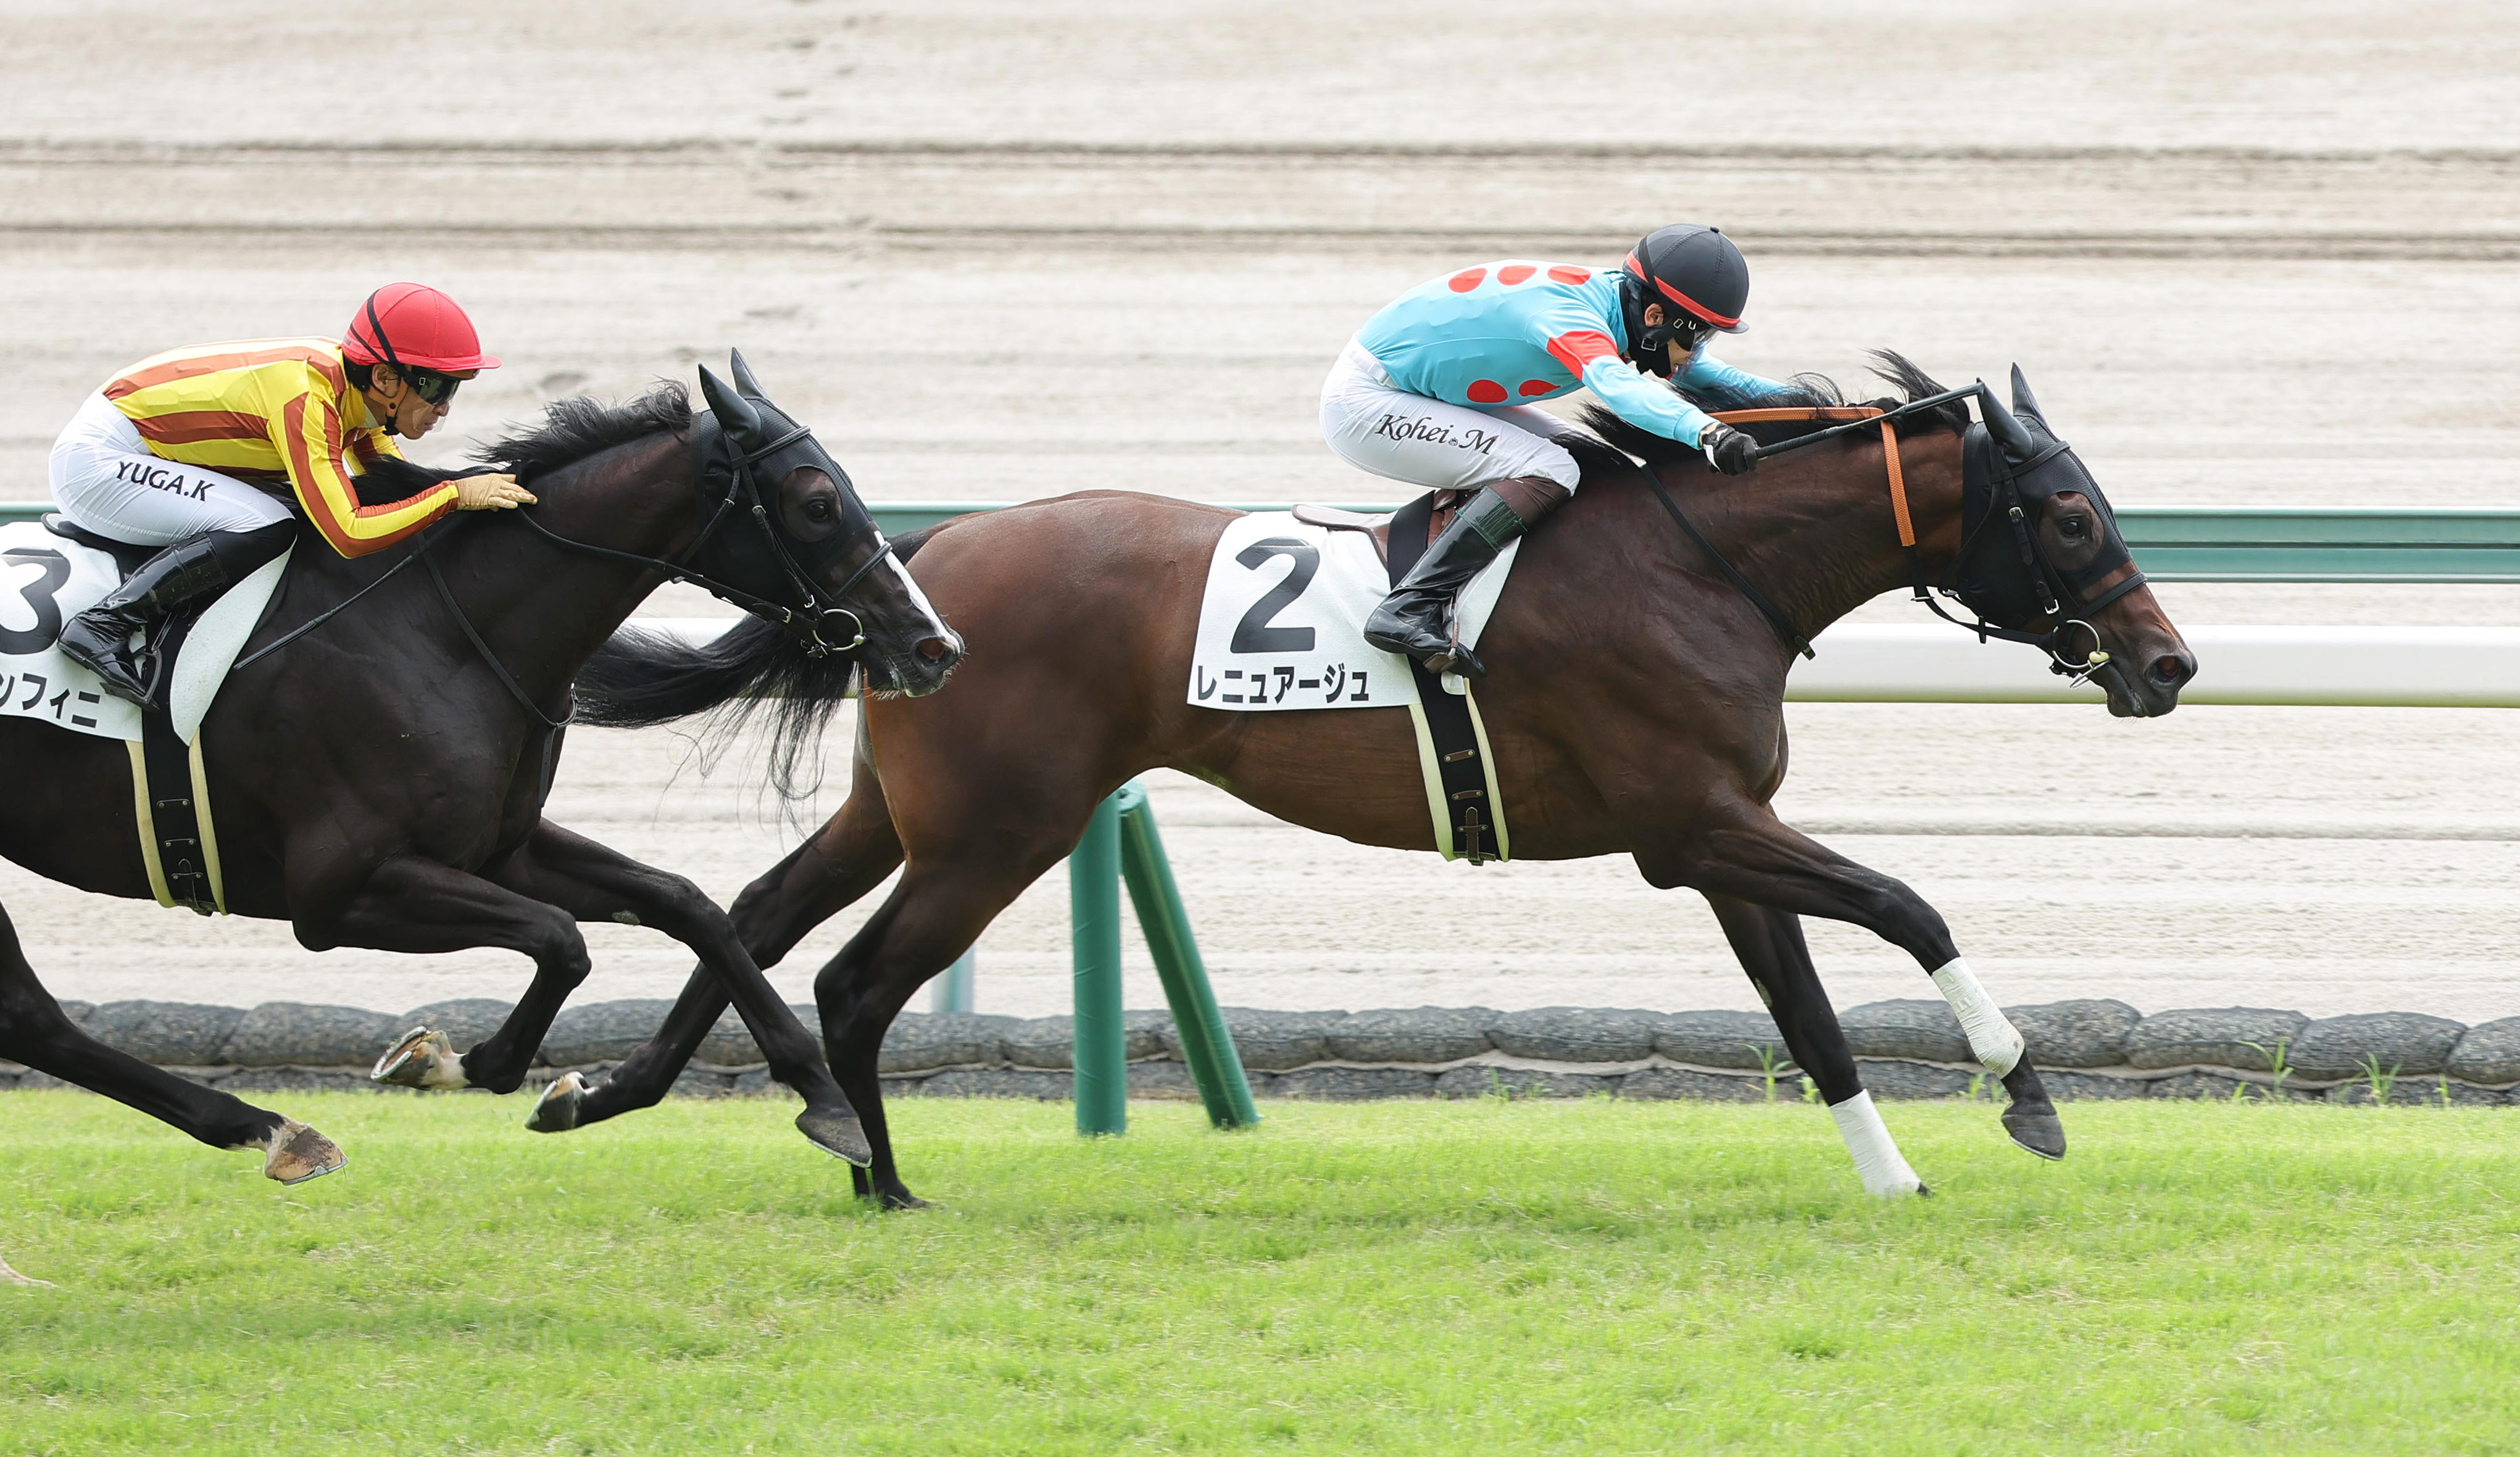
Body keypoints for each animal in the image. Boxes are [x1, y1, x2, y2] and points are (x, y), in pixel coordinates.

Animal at [0, 353, 958, 1183]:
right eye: (816, 503)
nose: (934, 645)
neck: (439, 623)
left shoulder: (497, 847)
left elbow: (688, 905)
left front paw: (825, 1100)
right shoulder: (337, 890)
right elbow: (562, 941)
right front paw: (451, 1059)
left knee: (32, 1020)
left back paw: (271, 1127)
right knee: (31, 1018)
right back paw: (274, 1127)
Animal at [551, 356, 2195, 1206]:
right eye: (2065, 517)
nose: (2168, 663)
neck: (1698, 563)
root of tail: (929, 556)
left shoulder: (1723, 833)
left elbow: (1805, 1009)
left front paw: (1890, 1177)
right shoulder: (1695, 826)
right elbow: (1908, 906)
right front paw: (2025, 1091)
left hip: (904, 807)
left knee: (754, 910)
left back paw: (608, 1094)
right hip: (997, 831)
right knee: (852, 978)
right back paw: (882, 1183)